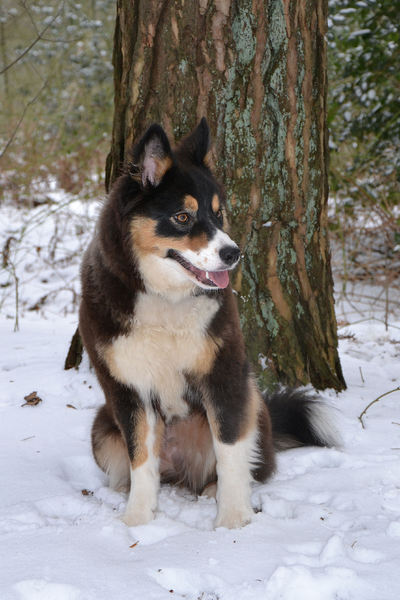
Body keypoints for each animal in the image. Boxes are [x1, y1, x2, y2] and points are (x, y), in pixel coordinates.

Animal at [79, 118, 334, 528]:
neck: (165, 299)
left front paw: (232, 520)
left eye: (217, 214)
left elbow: (230, 450)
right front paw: (138, 519)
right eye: (182, 217)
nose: (233, 253)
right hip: (102, 428)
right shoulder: (126, 389)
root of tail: (182, 473)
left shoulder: (224, 374)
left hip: (253, 402)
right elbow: (140, 457)